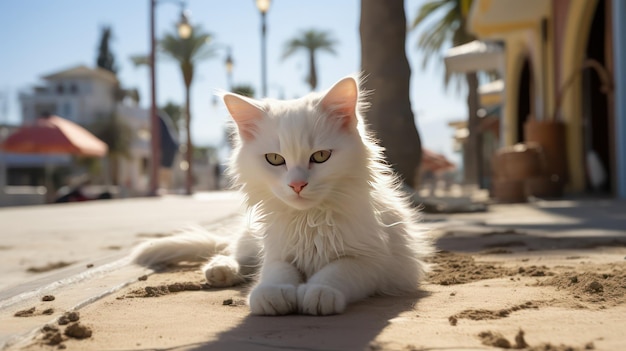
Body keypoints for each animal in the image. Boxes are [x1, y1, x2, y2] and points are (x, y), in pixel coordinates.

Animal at [132, 75, 428, 318]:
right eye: (275, 159)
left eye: (321, 156)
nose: (297, 185)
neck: (310, 221)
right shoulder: (276, 252)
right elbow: (275, 273)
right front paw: (272, 294)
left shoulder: (373, 260)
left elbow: (337, 272)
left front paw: (318, 292)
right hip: (252, 235)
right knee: (236, 254)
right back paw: (221, 270)